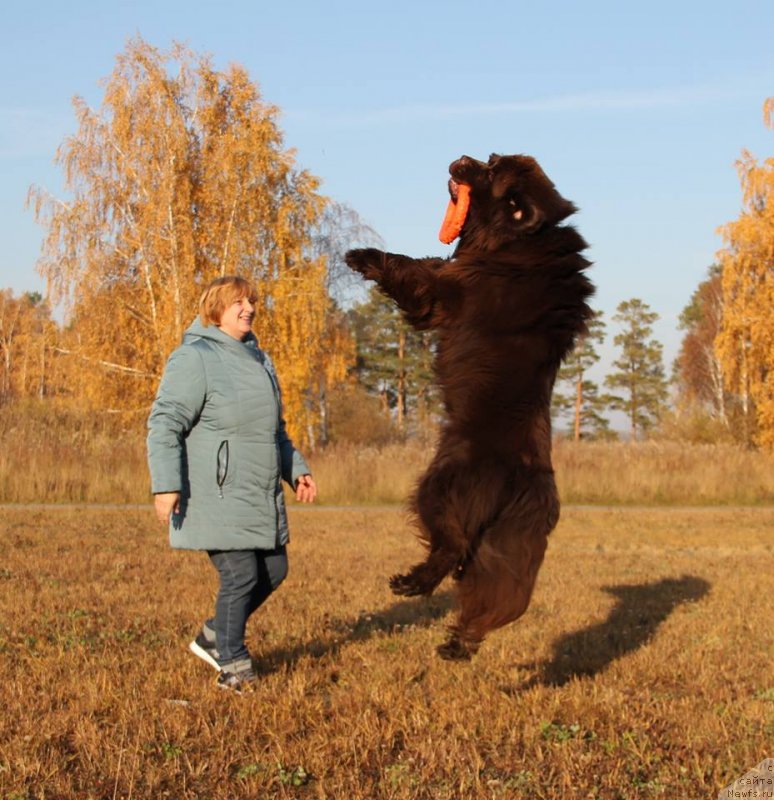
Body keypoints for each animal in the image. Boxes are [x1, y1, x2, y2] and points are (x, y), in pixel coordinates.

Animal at [348, 153, 596, 660]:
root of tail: (520, 480)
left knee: (452, 546)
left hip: (438, 486)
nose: (460, 159)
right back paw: (456, 643)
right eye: (495, 157)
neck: (515, 245)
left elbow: (411, 269)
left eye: (491, 170)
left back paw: (411, 584)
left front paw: (361, 256)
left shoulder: (445, 292)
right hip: (506, 548)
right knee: (491, 598)